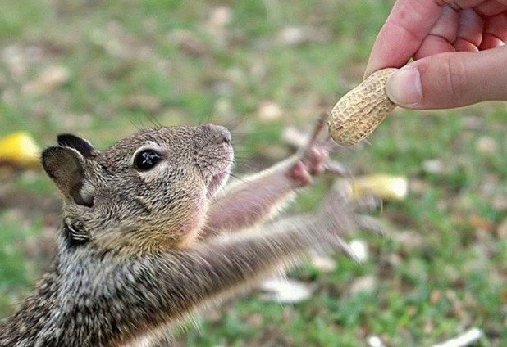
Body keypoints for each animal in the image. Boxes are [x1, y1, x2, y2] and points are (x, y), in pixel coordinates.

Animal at [0, 118, 360, 346]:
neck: (97, 245)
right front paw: (325, 222)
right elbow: (241, 257)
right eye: (147, 159)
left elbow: (221, 216)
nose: (224, 133)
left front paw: (304, 161)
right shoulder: (142, 282)